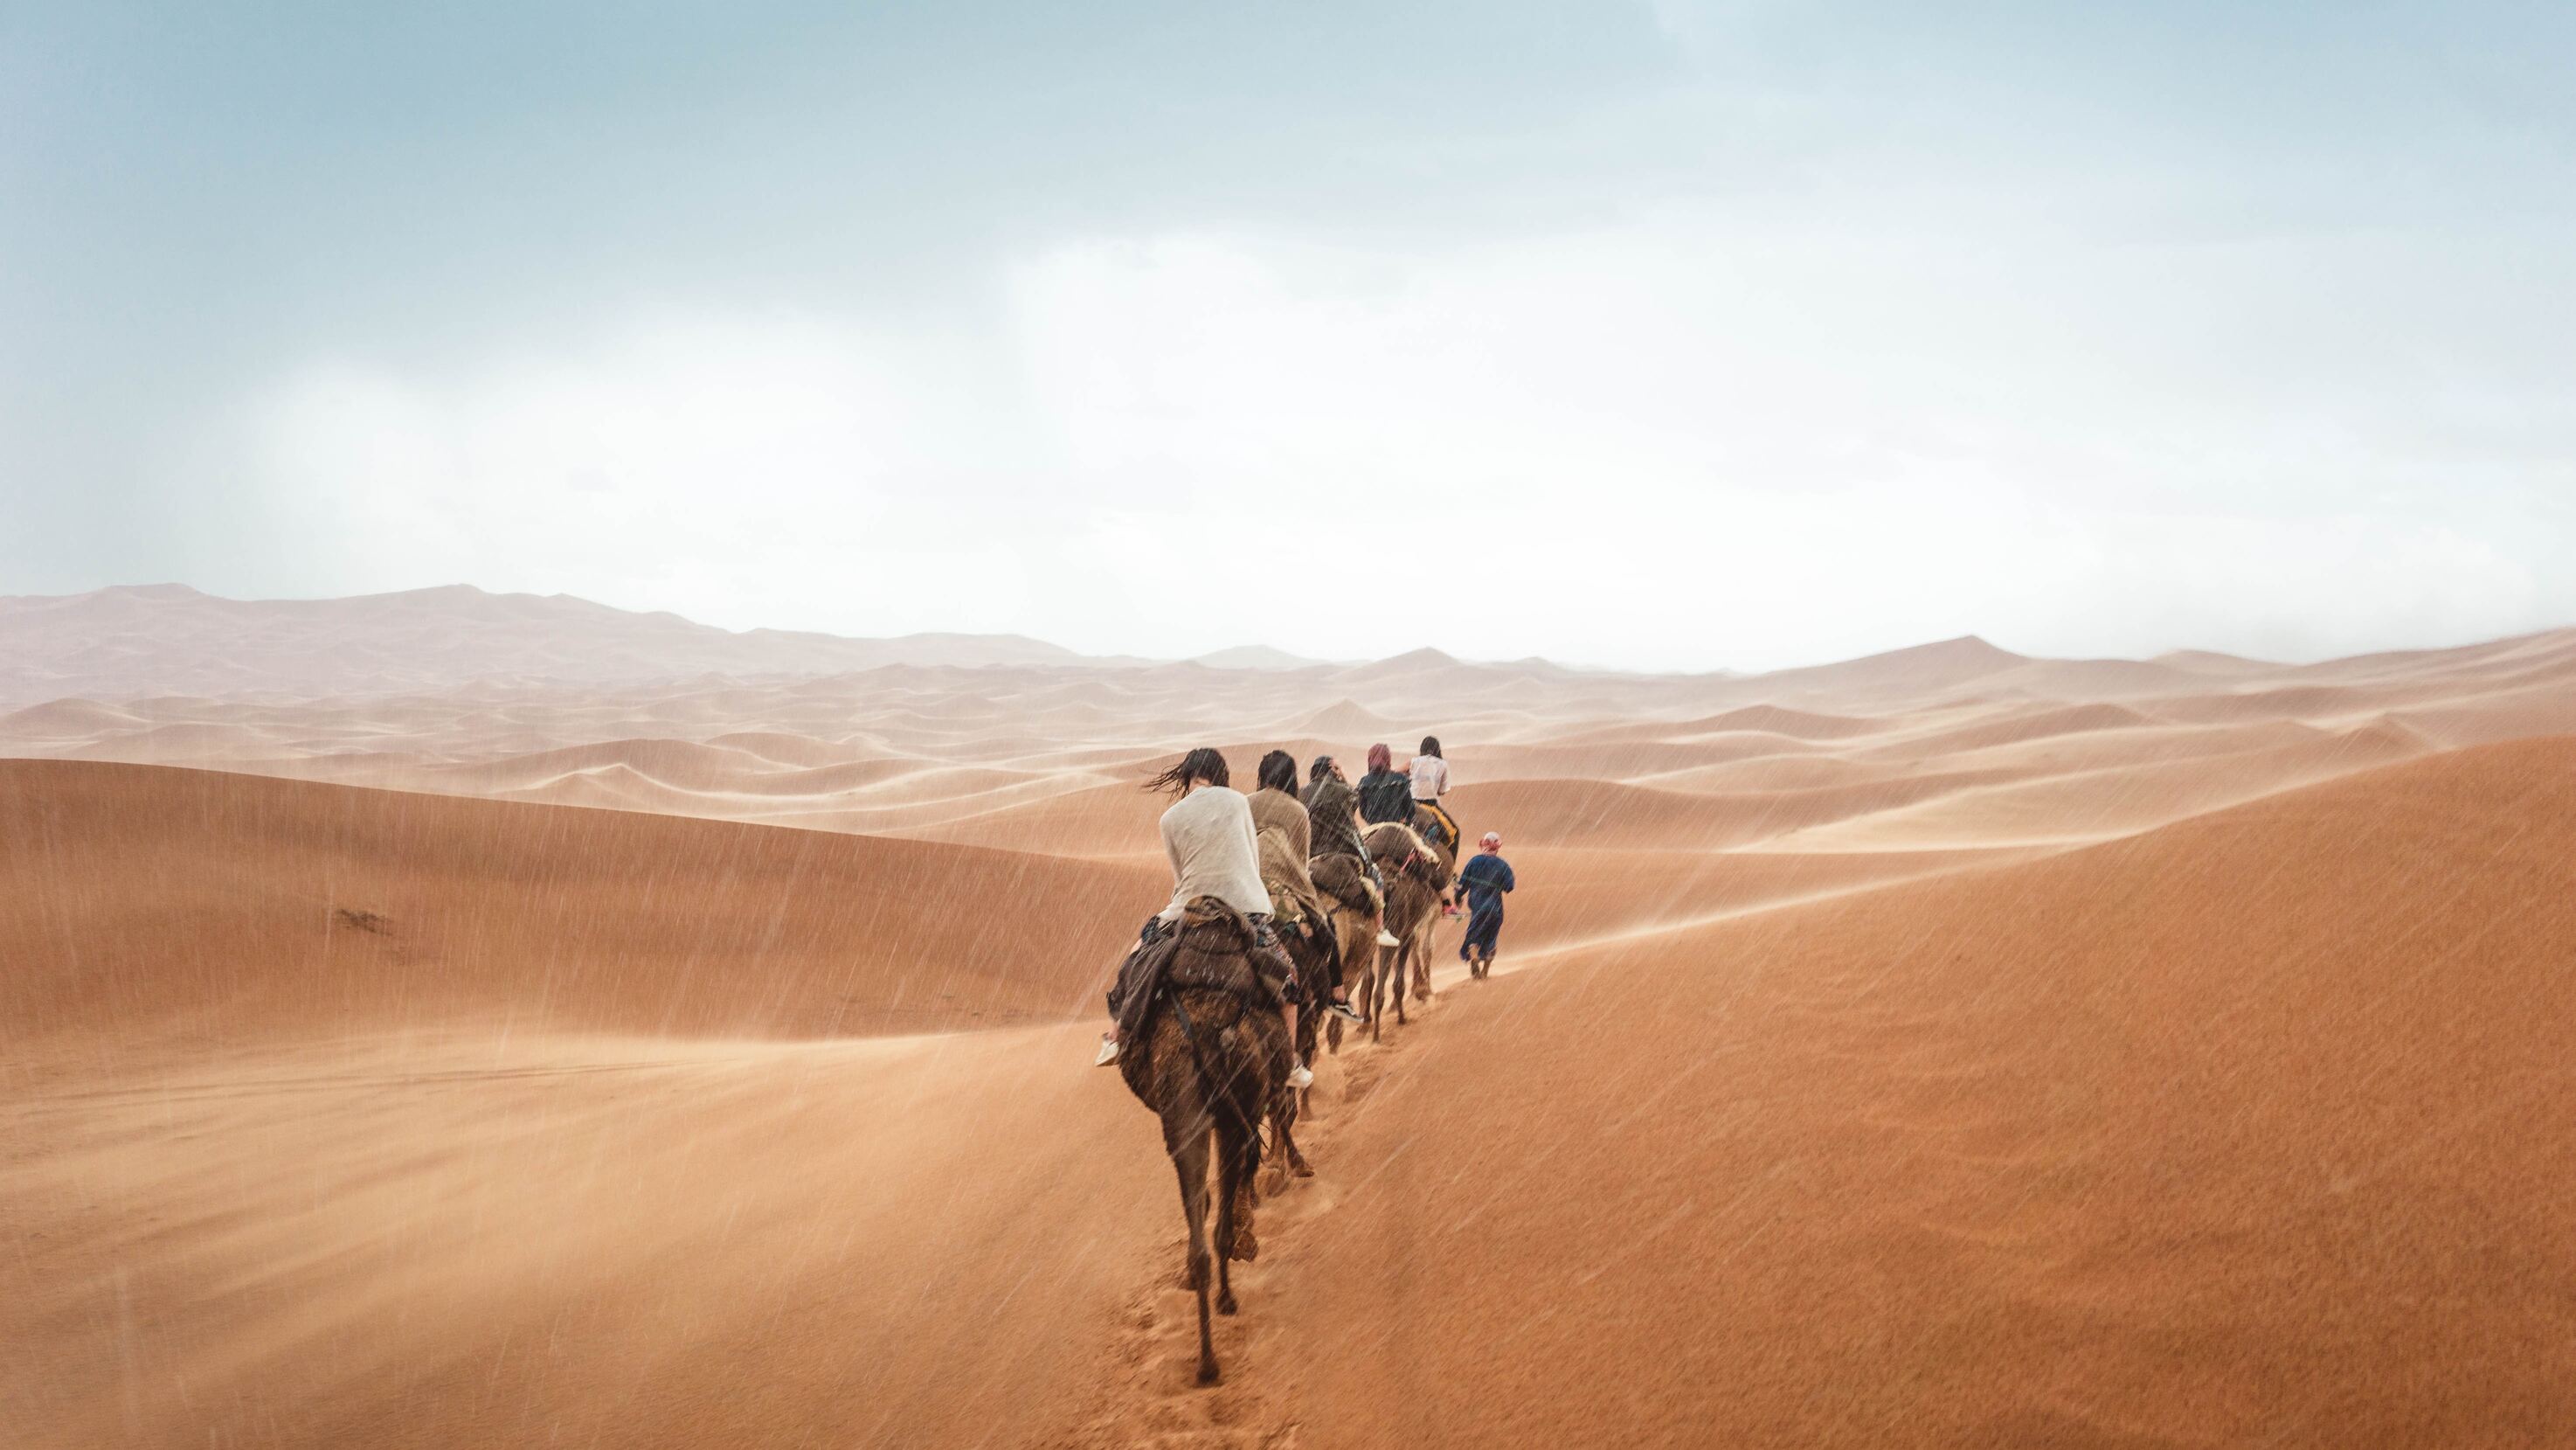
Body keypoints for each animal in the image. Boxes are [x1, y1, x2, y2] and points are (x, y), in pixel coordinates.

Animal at [1123, 901, 1298, 1391]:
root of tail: (1207, 1030)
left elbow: (1201, 1200)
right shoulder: (1239, 1117)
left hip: (1185, 1113)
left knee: (1202, 1219)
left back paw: (1206, 1361)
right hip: (1232, 1115)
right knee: (1220, 1219)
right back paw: (1225, 1303)